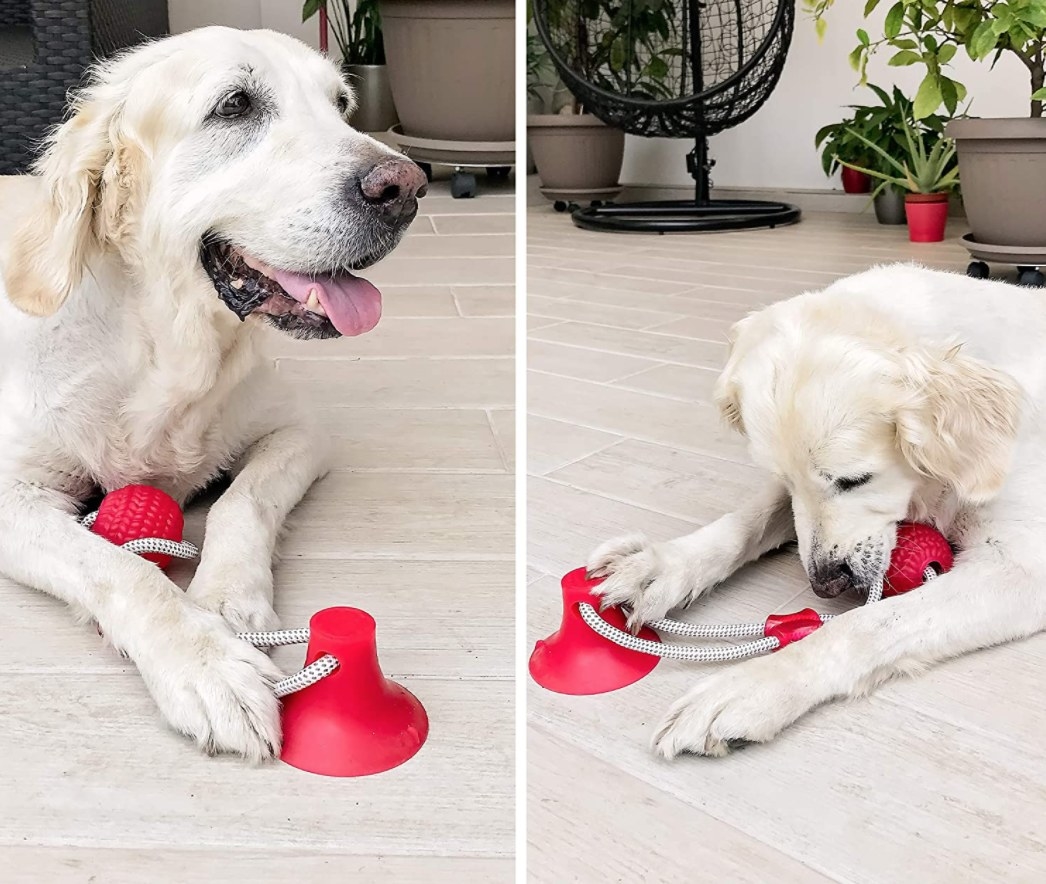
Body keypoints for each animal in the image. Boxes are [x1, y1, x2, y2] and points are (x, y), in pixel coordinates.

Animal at [0, 27, 428, 757]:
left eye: (341, 104)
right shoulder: (11, 492)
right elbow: (115, 566)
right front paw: (206, 665)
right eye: (234, 105)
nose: (406, 186)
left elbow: (241, 503)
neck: (167, 348)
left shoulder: (299, 430)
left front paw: (229, 601)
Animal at [589, 262, 1046, 757]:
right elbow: (749, 520)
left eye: (855, 479)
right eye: (787, 478)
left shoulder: (1025, 569)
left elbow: (866, 624)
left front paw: (753, 685)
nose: (825, 585)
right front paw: (661, 566)